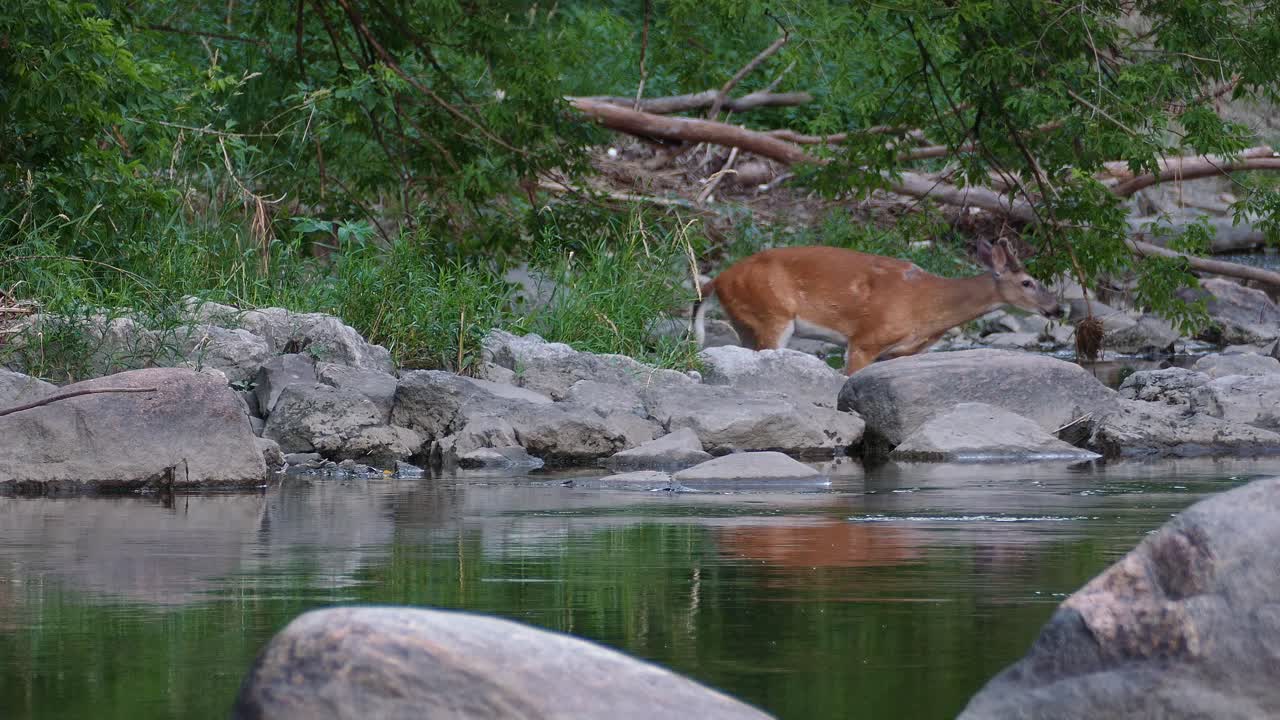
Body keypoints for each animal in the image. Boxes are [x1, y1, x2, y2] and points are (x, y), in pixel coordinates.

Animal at [691, 238, 1062, 375]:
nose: (1057, 309)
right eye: (1027, 282)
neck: (927, 305)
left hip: (745, 320)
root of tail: (717, 280)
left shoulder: (899, 351)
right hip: (773, 313)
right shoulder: (866, 338)